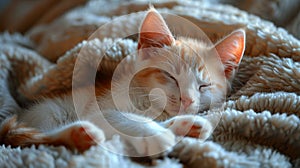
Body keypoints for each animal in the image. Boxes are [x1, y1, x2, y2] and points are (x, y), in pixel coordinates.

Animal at [0, 7, 245, 157]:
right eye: (170, 76)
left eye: (204, 86)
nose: (187, 100)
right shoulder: (99, 109)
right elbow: (123, 118)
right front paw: (155, 134)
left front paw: (182, 124)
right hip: (50, 111)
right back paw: (80, 134)